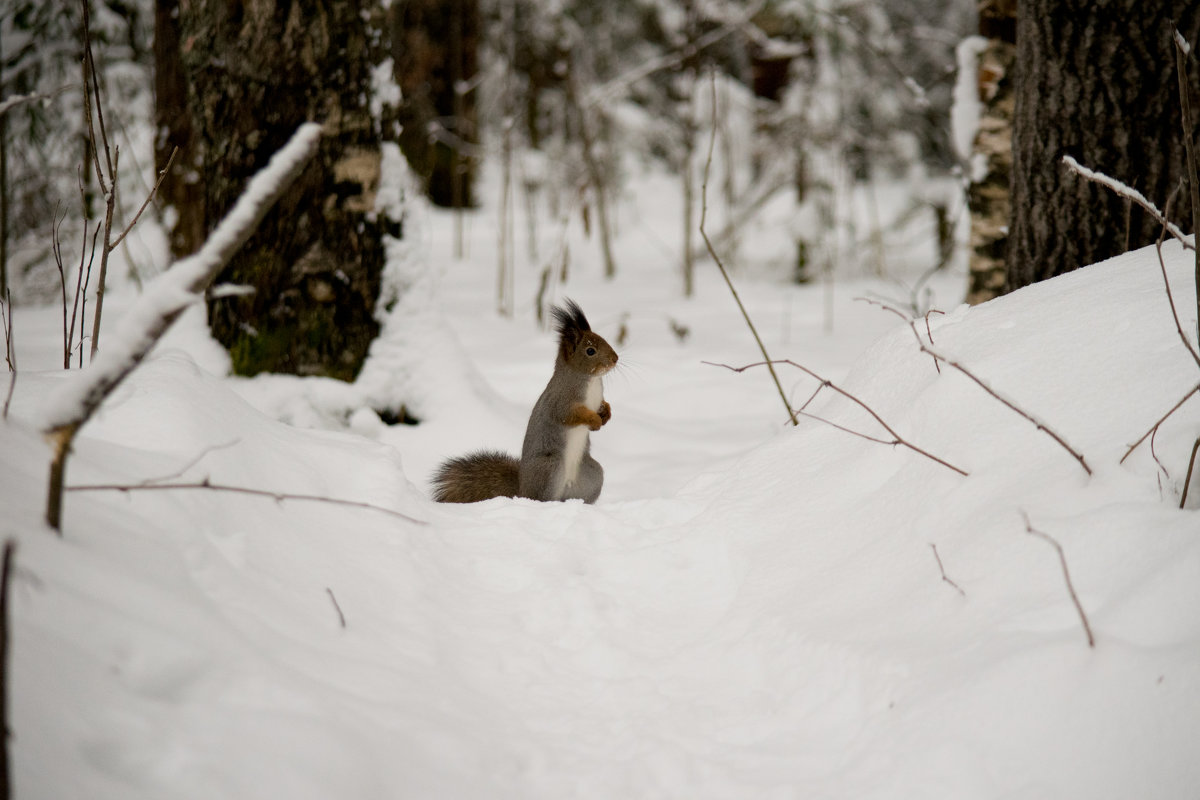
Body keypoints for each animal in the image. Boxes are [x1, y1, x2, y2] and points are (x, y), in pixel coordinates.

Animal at [432, 302, 619, 506]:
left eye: (602, 339)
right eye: (590, 351)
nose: (615, 358)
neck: (591, 380)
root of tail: (522, 490)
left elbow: (603, 405)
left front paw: (606, 414)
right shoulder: (560, 400)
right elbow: (568, 415)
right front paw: (594, 420)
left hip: (592, 475)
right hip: (550, 468)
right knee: (541, 498)